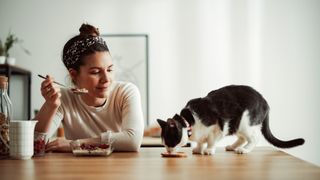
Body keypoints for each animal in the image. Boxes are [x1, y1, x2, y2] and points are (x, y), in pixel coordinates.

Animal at [158, 84, 304, 155]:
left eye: (169, 141)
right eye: (164, 143)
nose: (168, 151)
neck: (190, 122)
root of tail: (264, 102)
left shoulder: (217, 128)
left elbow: (211, 140)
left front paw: (209, 150)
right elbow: (200, 141)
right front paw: (199, 149)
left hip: (245, 122)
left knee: (254, 138)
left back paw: (244, 150)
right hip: (237, 124)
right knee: (243, 138)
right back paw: (232, 147)